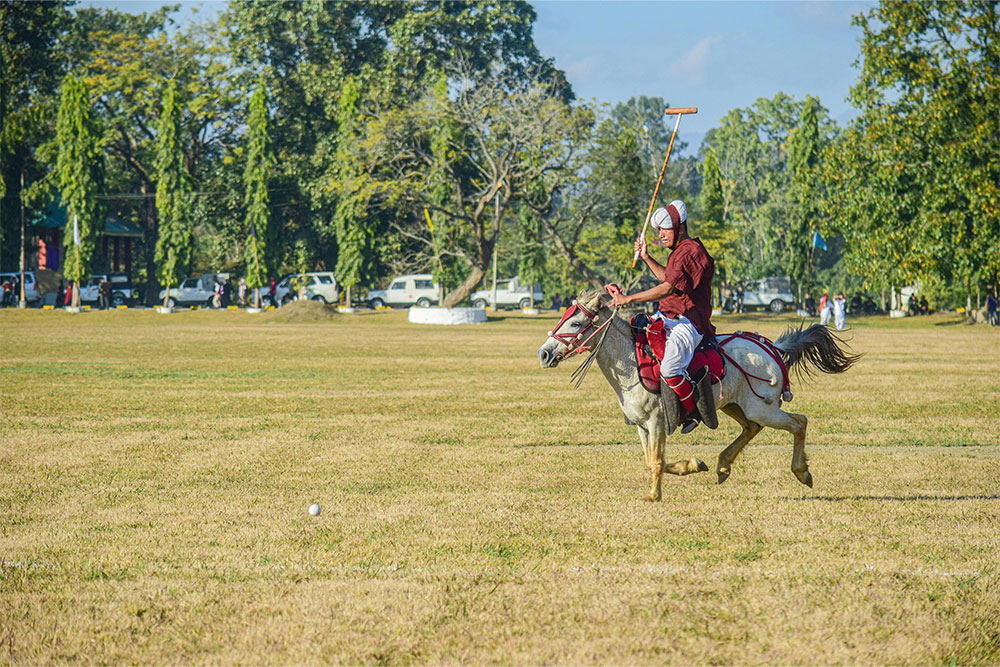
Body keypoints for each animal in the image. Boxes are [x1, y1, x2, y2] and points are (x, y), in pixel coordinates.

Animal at [540, 290, 860, 504]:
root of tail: (773, 347)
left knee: (799, 422)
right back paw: (722, 465)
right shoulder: (642, 425)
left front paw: (656, 493)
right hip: (733, 404)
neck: (629, 361)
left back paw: (802, 472)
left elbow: (657, 461)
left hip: (762, 407)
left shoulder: (657, 421)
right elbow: (651, 461)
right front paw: (693, 466)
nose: (544, 354)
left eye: (575, 323)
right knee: (752, 428)